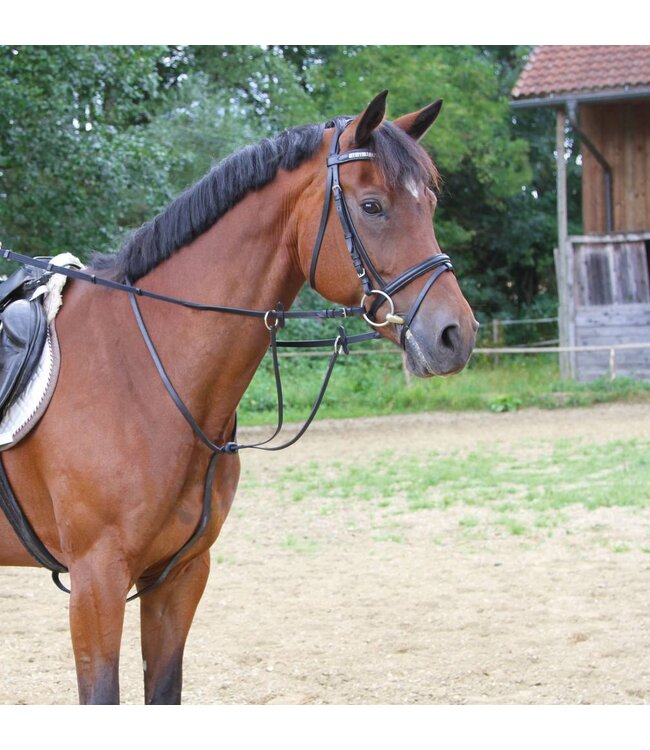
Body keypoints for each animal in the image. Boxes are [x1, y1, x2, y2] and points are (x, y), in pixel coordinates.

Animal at [0, 90, 477, 704]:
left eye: (431, 204)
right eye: (373, 206)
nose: (455, 335)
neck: (138, 369)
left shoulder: (179, 576)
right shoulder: (96, 581)